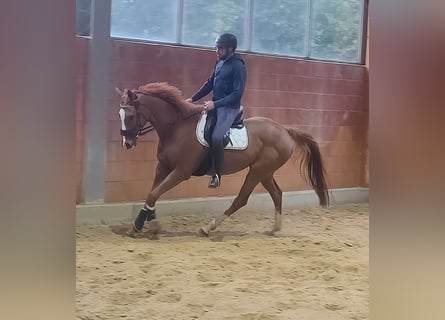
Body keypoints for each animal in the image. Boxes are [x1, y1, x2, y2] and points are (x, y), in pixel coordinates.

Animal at [118, 82, 330, 238]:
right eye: (119, 114)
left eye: (130, 115)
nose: (127, 143)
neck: (176, 128)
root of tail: (285, 131)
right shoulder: (163, 166)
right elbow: (152, 193)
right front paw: (147, 223)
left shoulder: (181, 172)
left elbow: (154, 193)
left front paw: (142, 226)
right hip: (265, 173)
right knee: (277, 194)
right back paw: (274, 229)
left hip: (258, 171)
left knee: (241, 199)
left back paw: (208, 227)